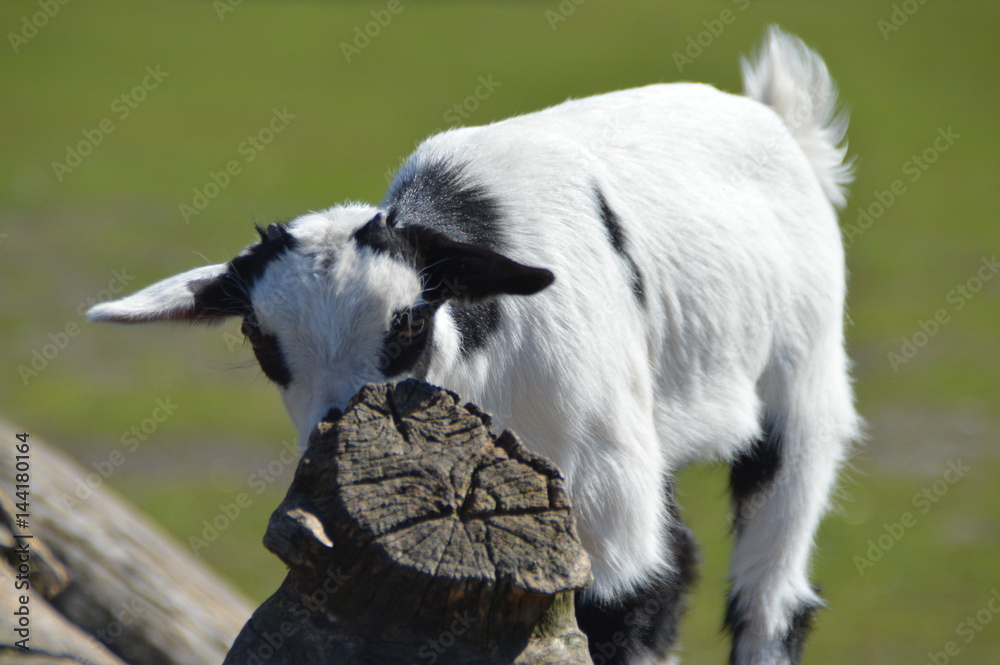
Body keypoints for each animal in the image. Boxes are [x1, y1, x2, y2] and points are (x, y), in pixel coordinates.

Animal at [88, 27, 860, 665]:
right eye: (257, 337)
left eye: (407, 323)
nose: (334, 438)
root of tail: (781, 120)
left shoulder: (605, 487)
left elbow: (630, 608)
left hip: (804, 381)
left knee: (768, 593)